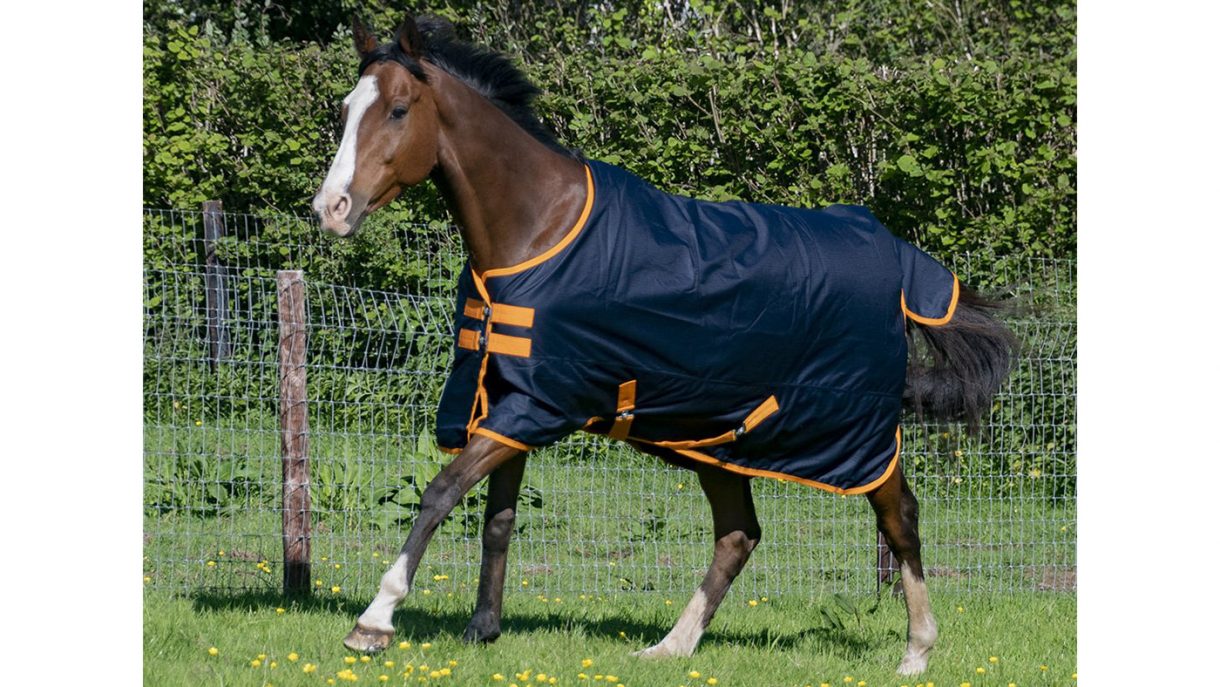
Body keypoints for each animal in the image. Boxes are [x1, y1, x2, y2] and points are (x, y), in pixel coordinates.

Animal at [311, 13, 1015, 676]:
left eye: (399, 109)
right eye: (345, 110)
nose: (331, 209)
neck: (539, 228)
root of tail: (894, 255)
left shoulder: (539, 406)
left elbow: (440, 493)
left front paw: (375, 621)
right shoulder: (508, 398)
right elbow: (496, 519)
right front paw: (482, 629)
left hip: (857, 437)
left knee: (900, 520)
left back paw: (916, 650)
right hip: (720, 440)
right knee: (738, 535)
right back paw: (671, 647)